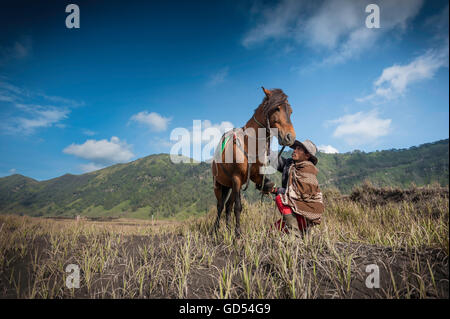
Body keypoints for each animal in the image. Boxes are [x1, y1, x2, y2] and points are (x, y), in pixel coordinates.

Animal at [213, 87, 298, 238]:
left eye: (291, 111)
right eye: (276, 108)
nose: (290, 137)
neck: (249, 144)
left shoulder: (254, 176)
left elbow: (266, 184)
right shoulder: (236, 178)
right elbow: (238, 207)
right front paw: (238, 234)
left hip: (230, 186)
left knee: (227, 206)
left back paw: (227, 230)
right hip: (219, 185)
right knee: (220, 206)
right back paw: (216, 231)